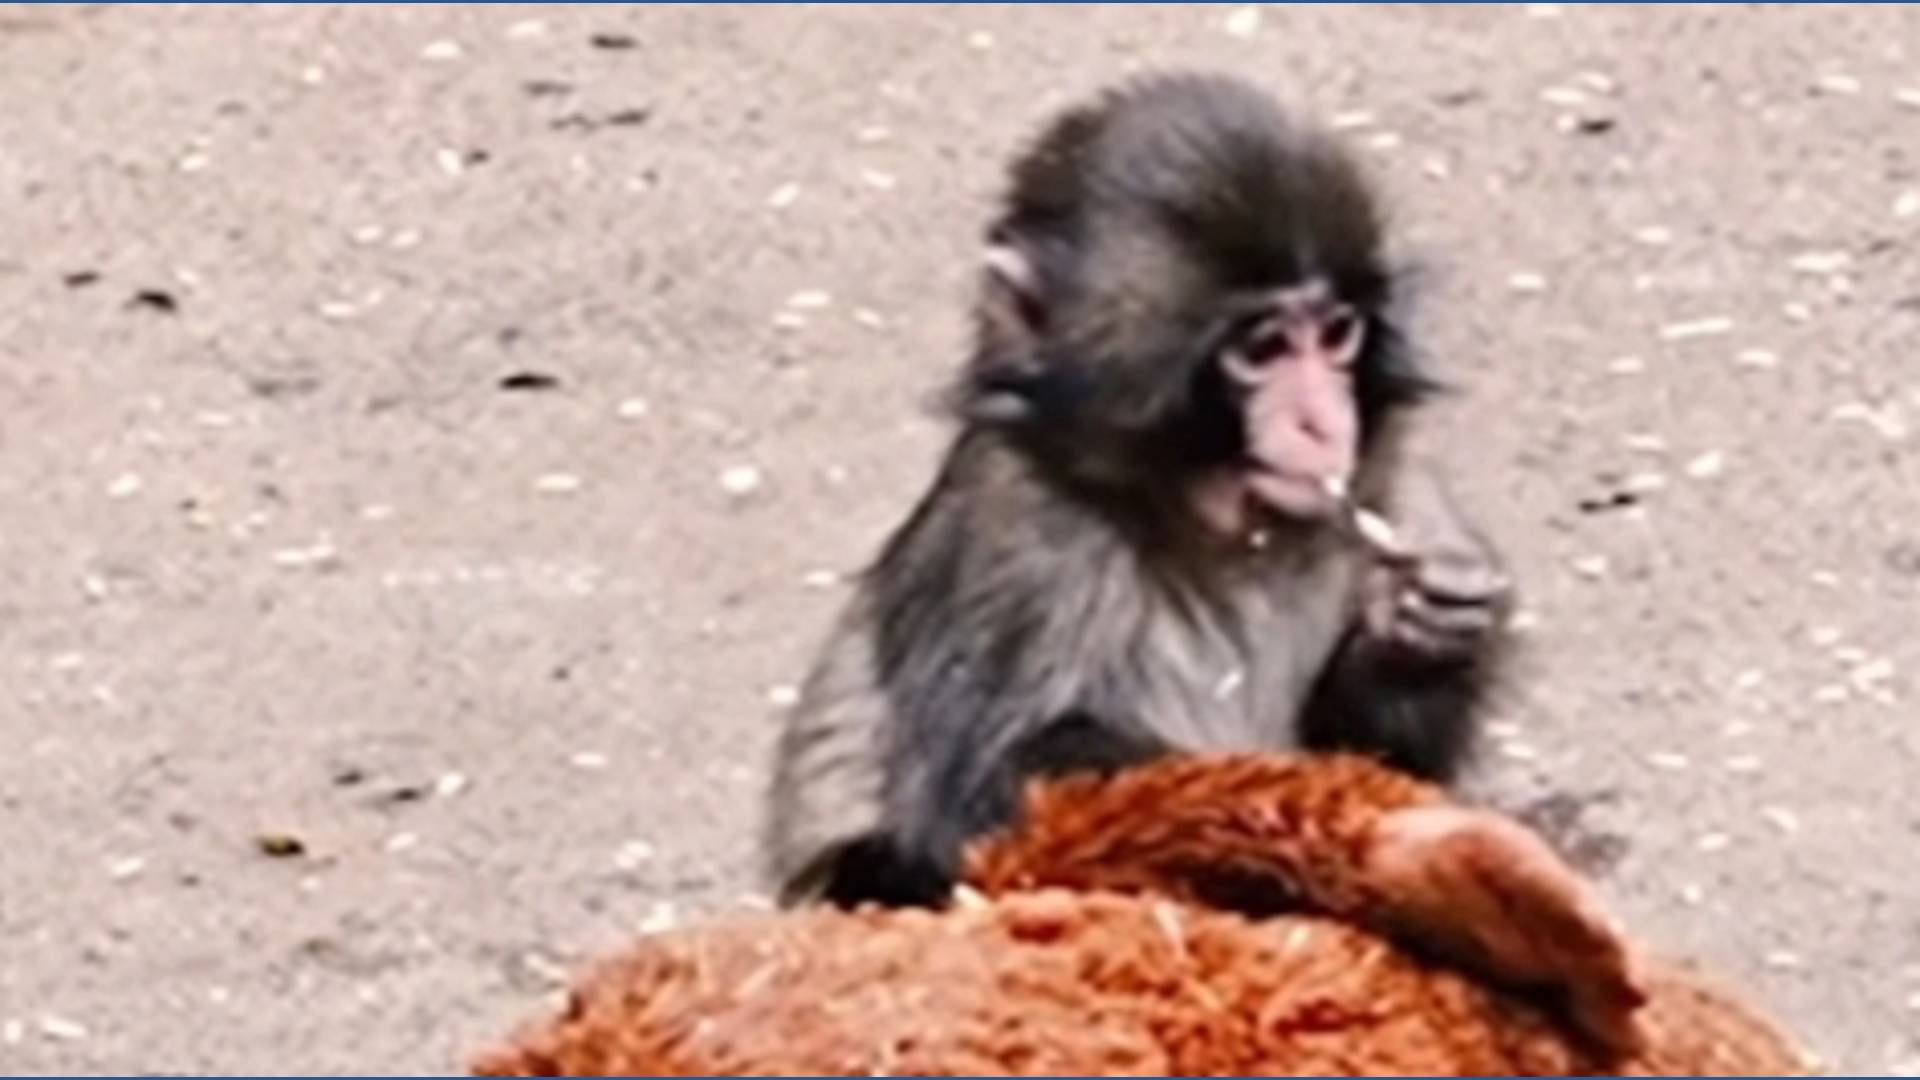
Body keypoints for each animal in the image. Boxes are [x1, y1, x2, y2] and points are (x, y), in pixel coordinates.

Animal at [765, 71, 1516, 911]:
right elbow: (981, 793)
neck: (1213, 526)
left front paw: (1416, 628)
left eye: (1336, 333)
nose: (1324, 423)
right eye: (1263, 347)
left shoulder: (1393, 482)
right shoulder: (1013, 529)